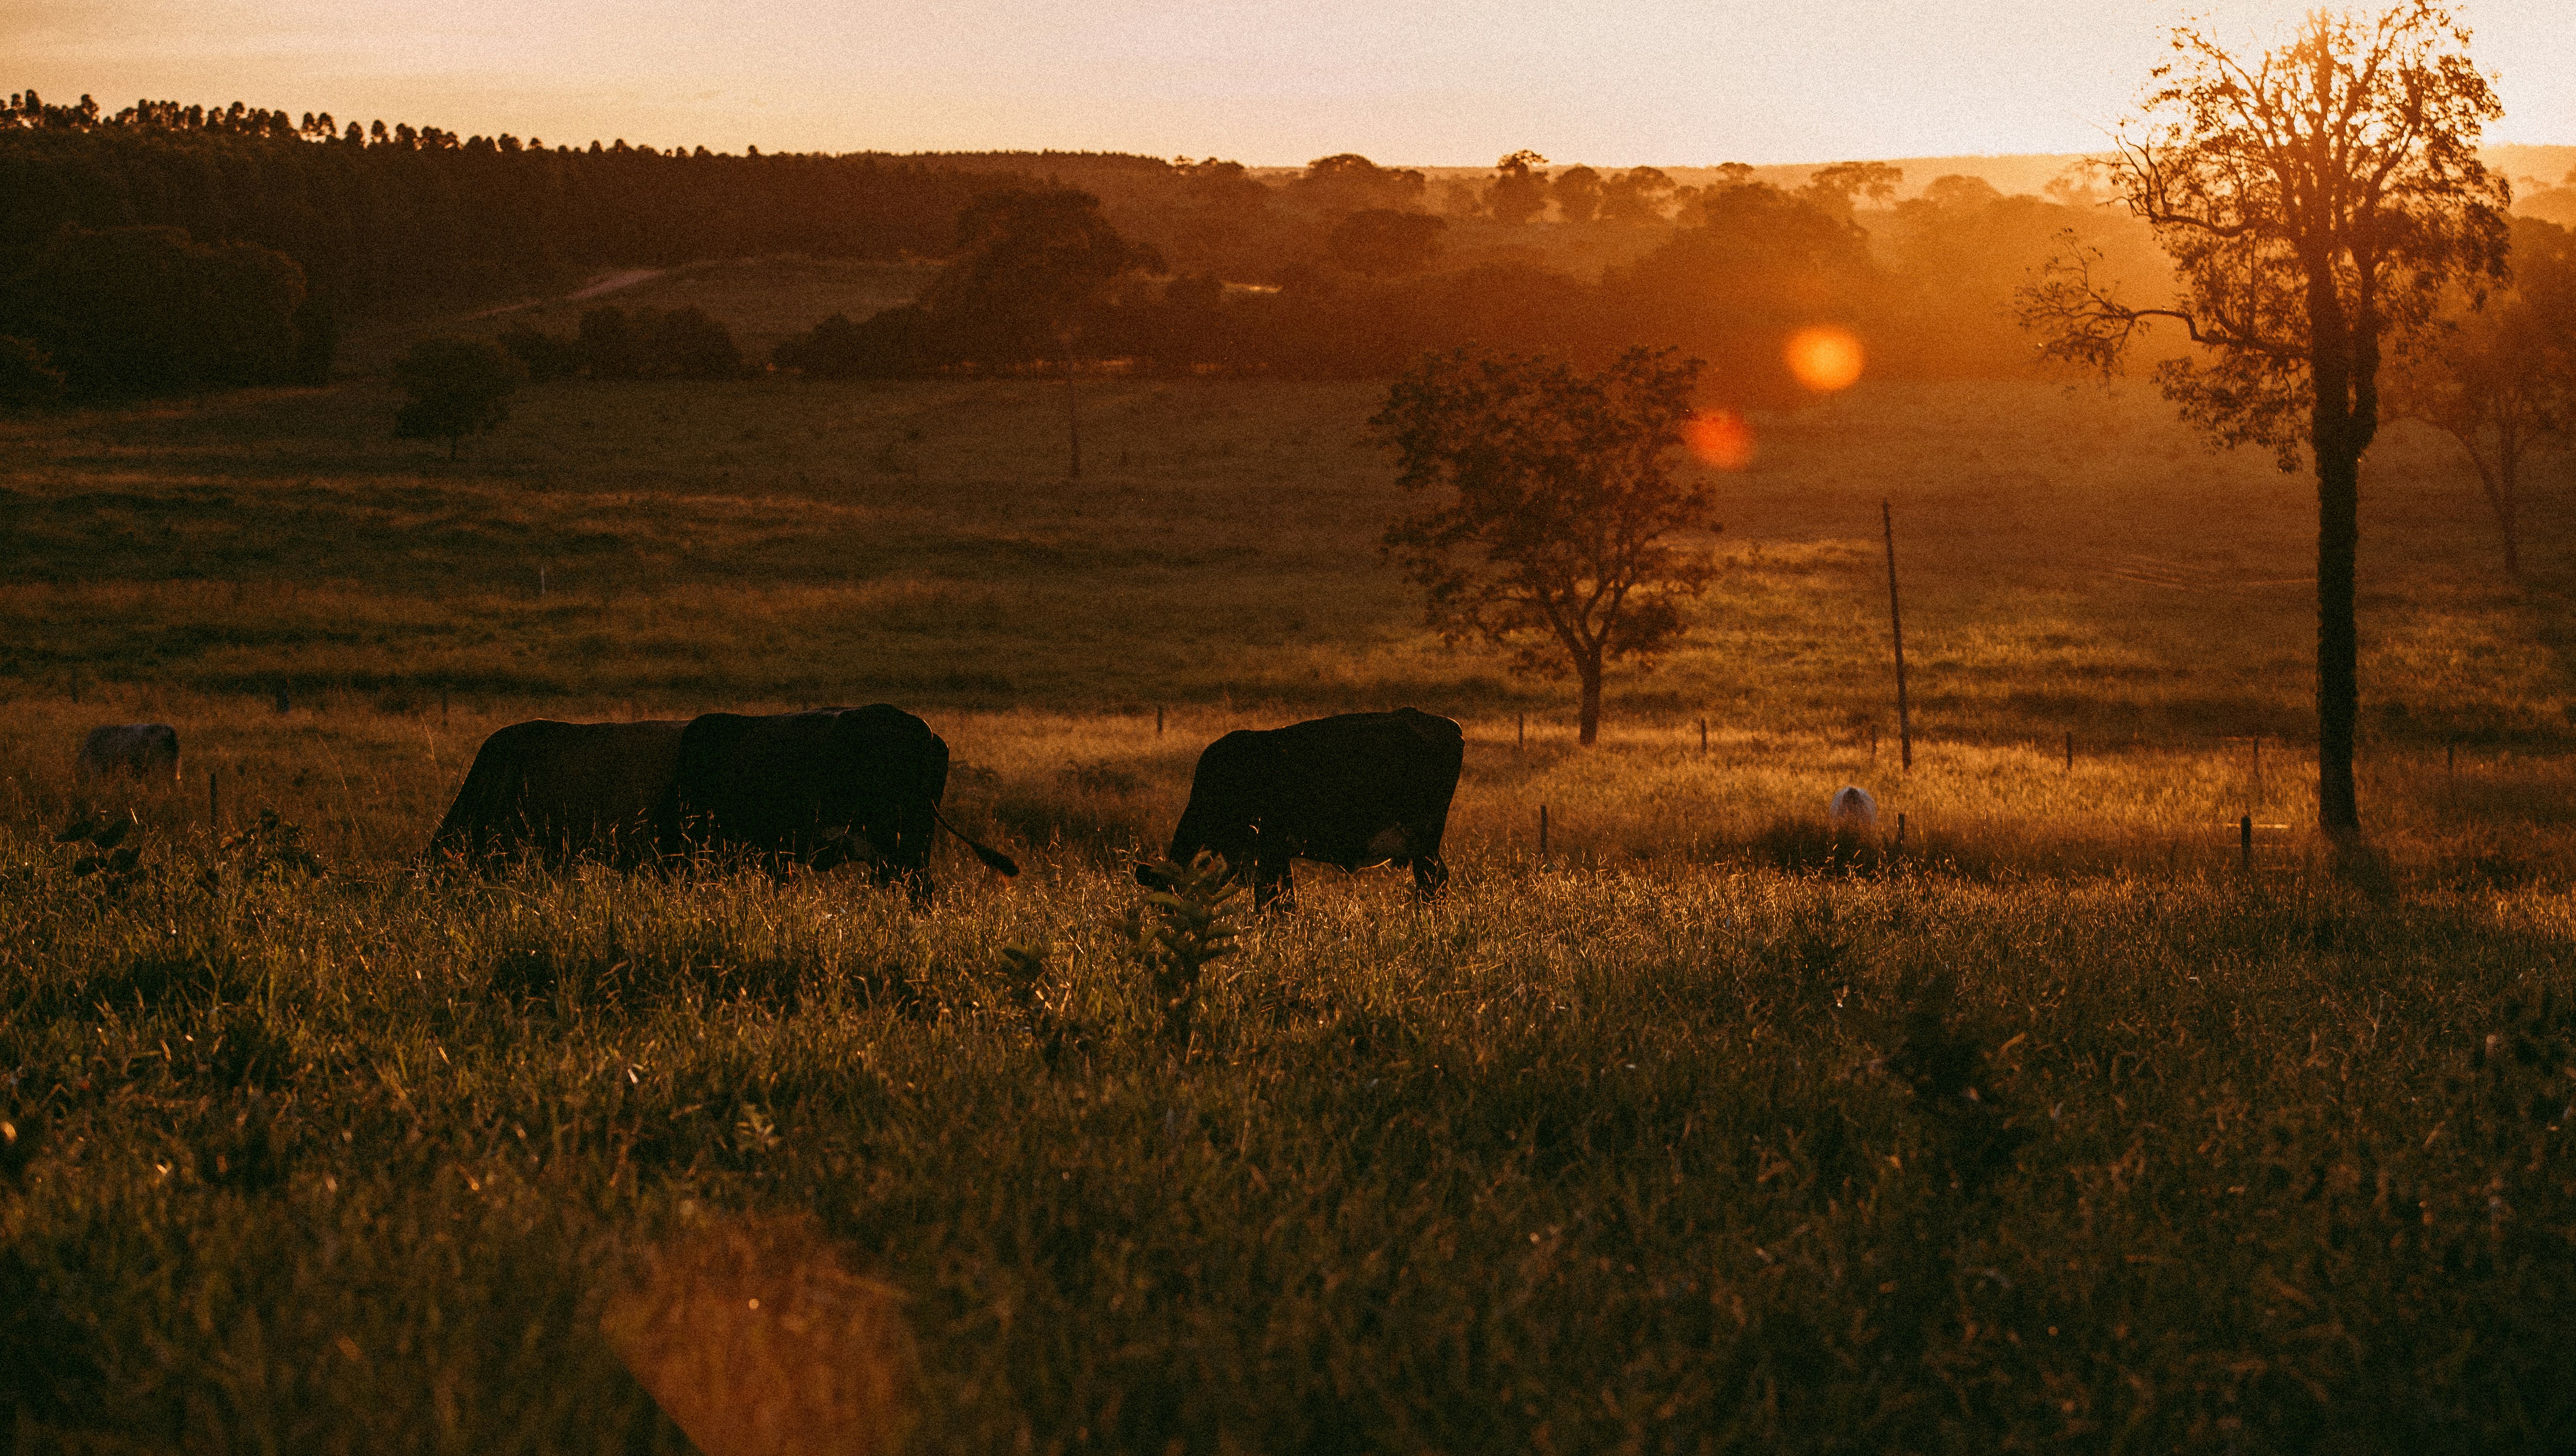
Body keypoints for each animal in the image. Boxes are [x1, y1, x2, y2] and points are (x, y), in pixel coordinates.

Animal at [1154, 706, 1463, 907]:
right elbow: (1283, 898)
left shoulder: (1265, 849)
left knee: (1432, 883)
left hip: (1423, 840)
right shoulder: (1273, 854)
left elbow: (1271, 901)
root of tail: (1449, 725)